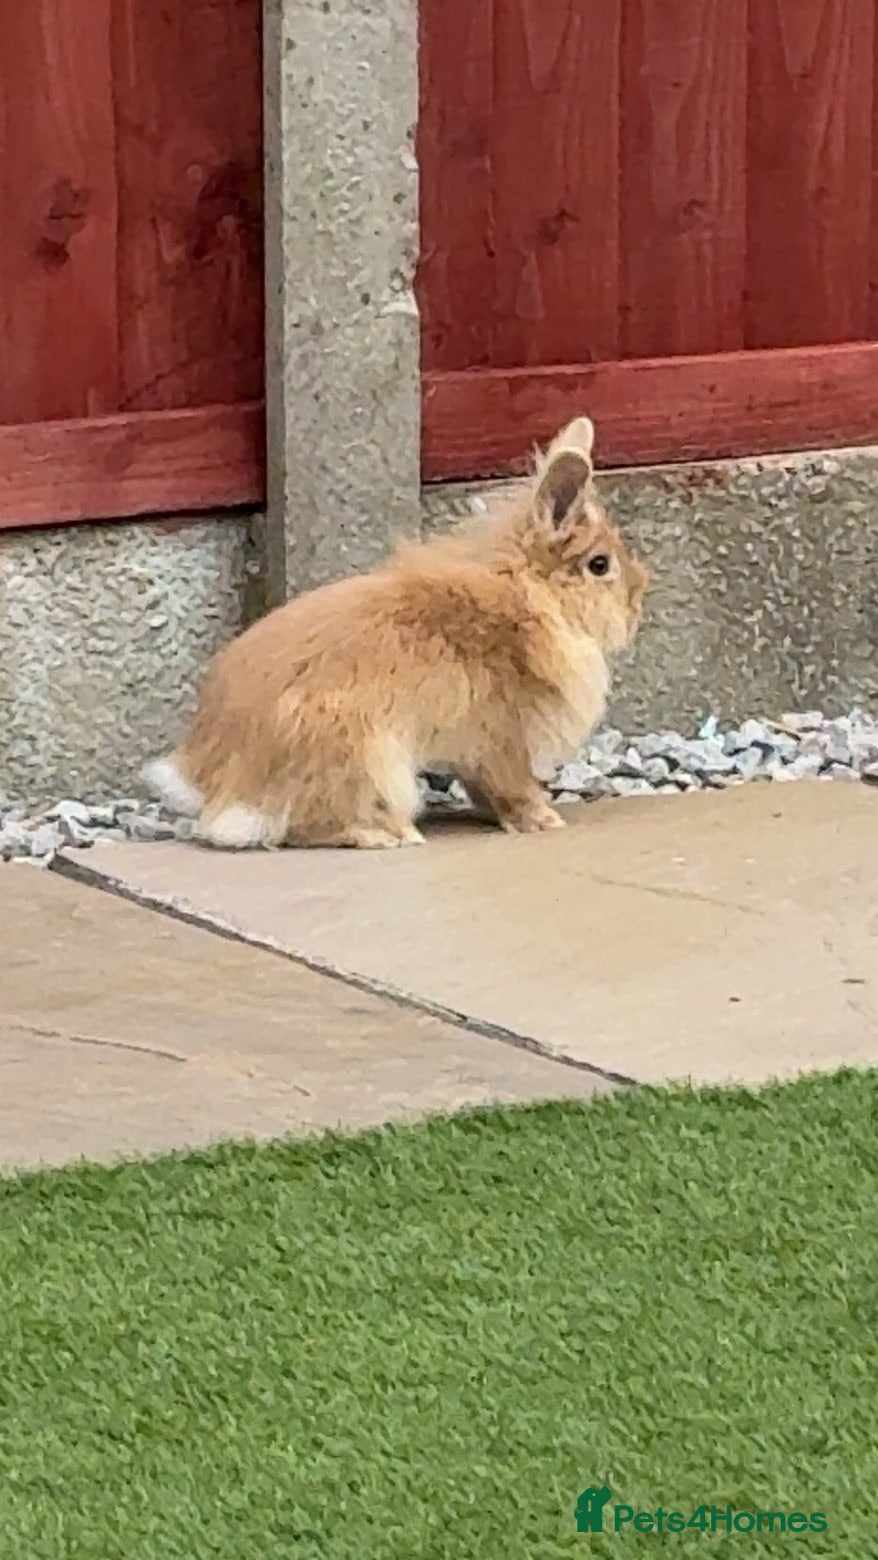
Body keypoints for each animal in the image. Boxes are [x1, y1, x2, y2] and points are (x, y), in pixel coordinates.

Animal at [143, 416, 649, 849]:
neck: (528, 596)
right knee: (306, 825)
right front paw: (544, 820)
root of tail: (211, 780)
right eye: (599, 565)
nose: (637, 605)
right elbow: (513, 787)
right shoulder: (502, 738)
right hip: (366, 761)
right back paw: (389, 835)